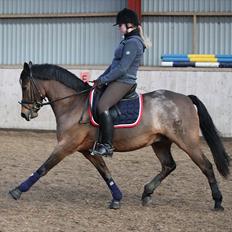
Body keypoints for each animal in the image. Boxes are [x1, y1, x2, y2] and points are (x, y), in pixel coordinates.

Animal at [9, 61, 230, 210]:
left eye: (25, 86)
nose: (25, 114)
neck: (73, 104)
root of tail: (186, 98)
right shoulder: (87, 150)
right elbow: (104, 172)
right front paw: (117, 197)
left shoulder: (66, 145)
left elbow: (43, 168)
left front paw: (17, 190)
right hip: (160, 143)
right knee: (169, 165)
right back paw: (147, 192)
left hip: (187, 141)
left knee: (206, 166)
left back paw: (218, 201)